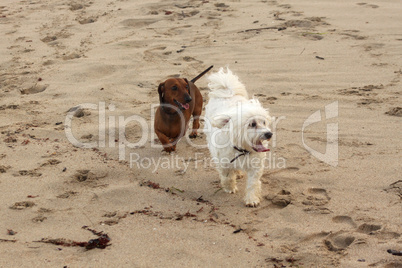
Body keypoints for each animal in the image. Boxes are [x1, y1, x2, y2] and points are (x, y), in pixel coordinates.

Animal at [204, 67, 274, 207]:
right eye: (252, 124)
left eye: (264, 122)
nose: (269, 134)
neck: (243, 150)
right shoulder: (224, 162)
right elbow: (227, 177)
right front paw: (230, 188)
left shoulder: (255, 166)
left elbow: (253, 184)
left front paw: (252, 199)